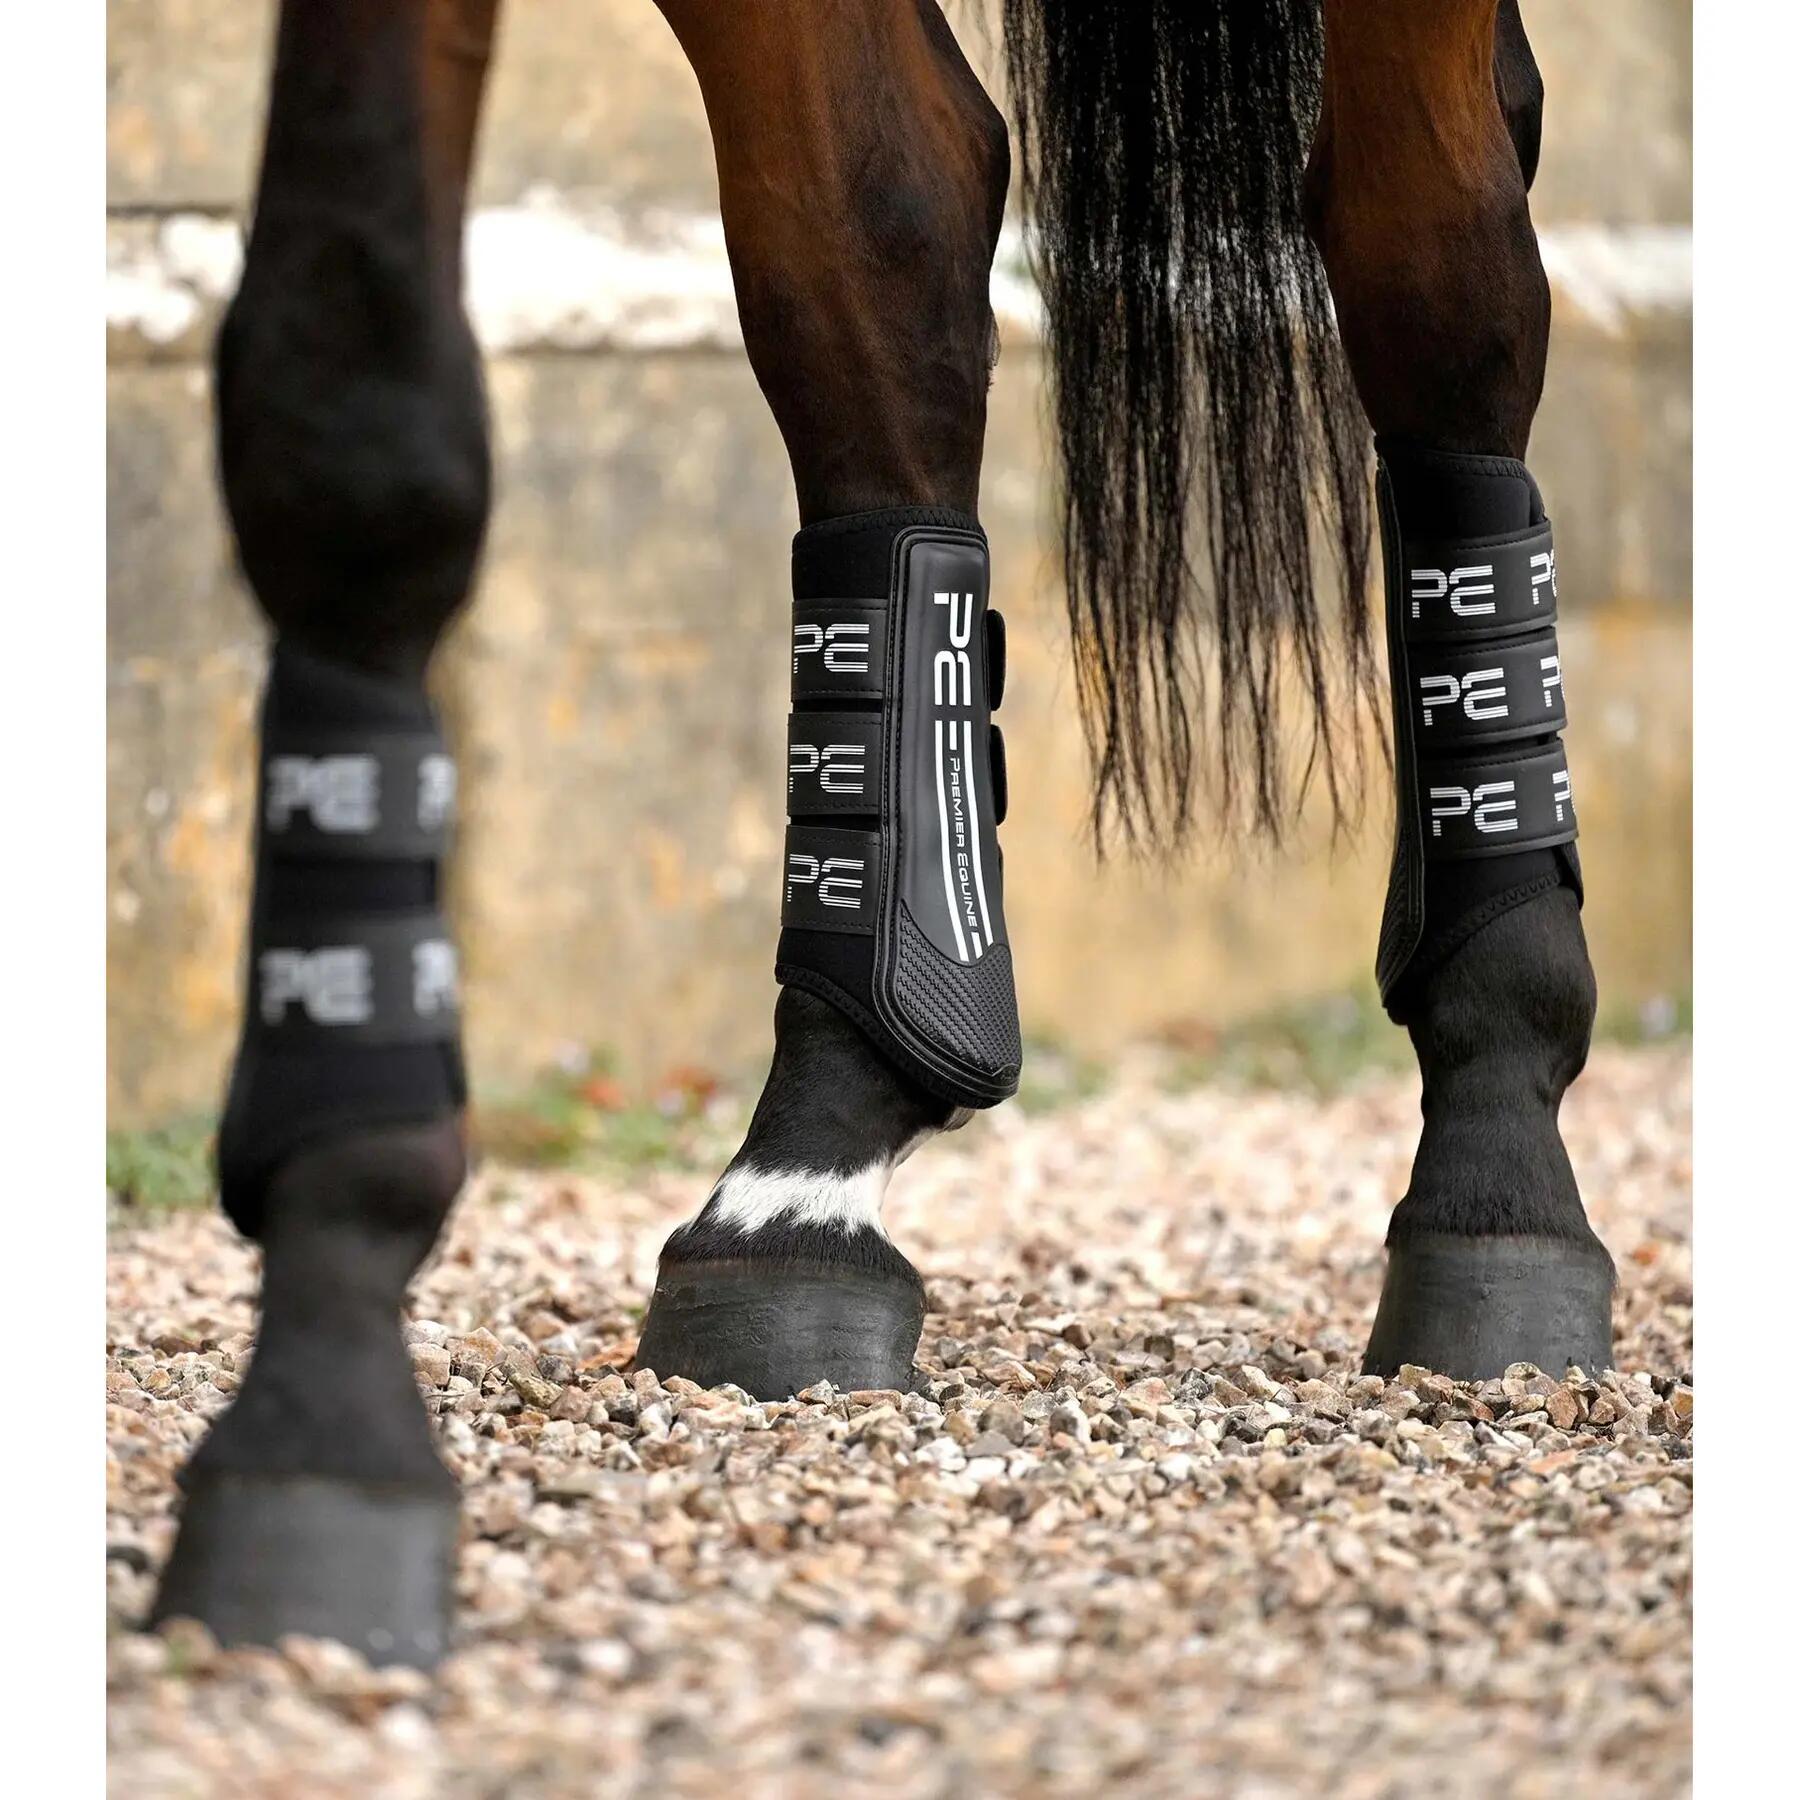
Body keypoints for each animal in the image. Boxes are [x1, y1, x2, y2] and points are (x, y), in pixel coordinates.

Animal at [148, 0, 1609, 1668]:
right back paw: (807, 1169)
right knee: (905, 220)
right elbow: (360, 380)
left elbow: (370, 428)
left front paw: (323, 1404)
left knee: (1434, 236)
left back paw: (1499, 1158)